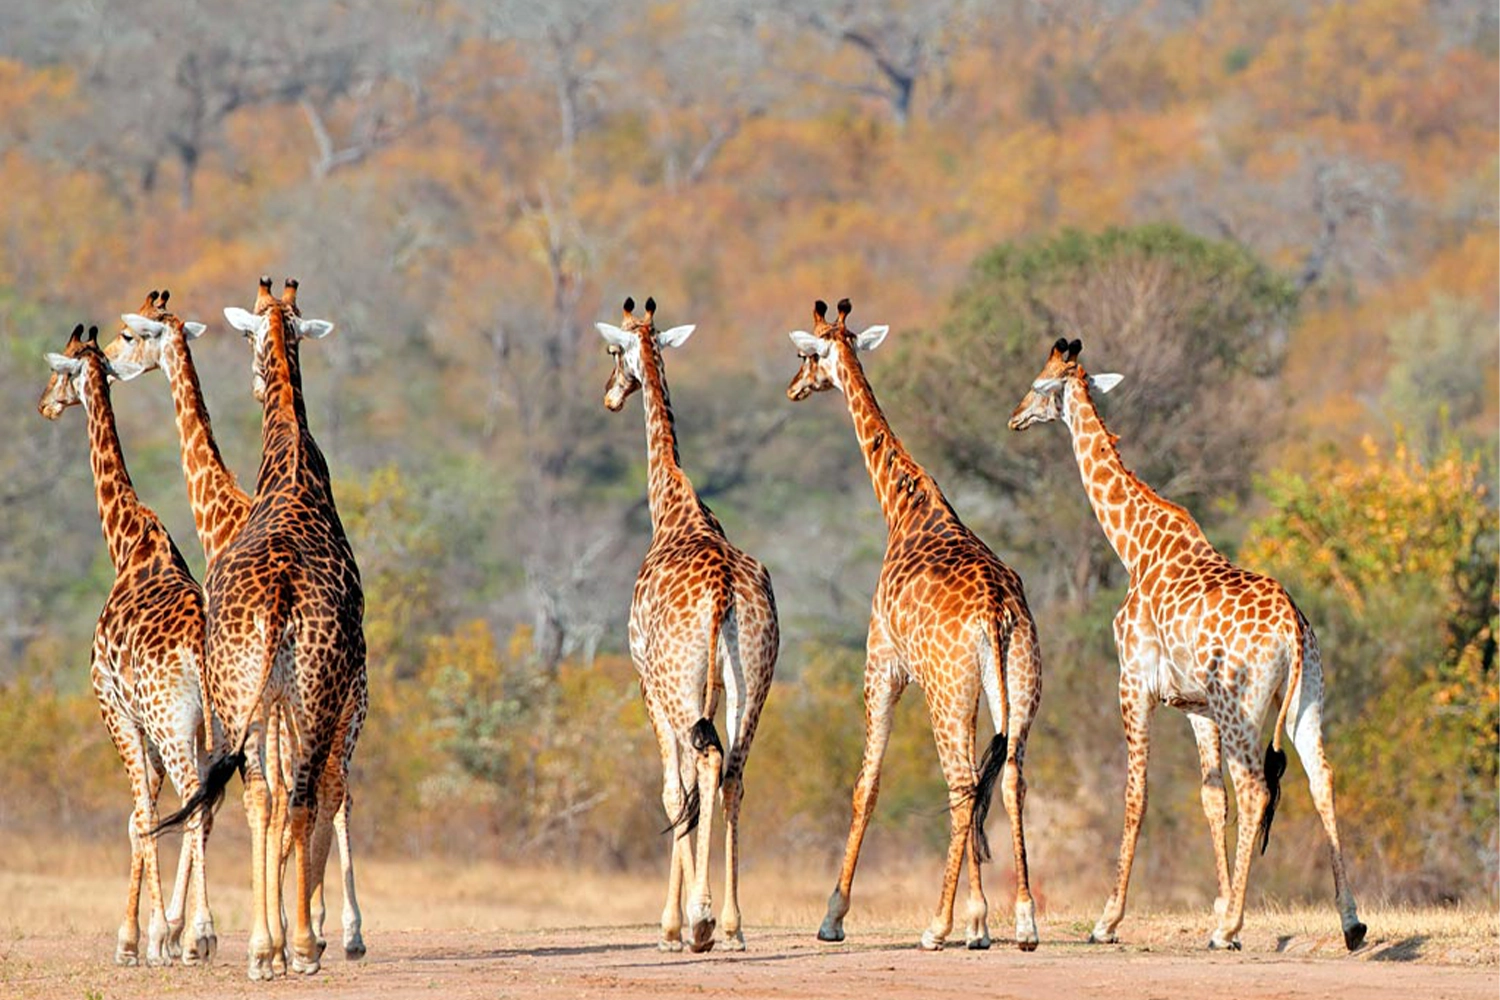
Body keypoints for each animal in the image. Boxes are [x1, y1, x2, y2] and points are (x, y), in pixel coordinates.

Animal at [36, 325, 216, 965]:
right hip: (218, 723)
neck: (127, 542)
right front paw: (147, 934)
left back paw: (198, 934)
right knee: (208, 801)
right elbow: (147, 814)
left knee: (192, 800)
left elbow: (140, 815)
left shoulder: (115, 708)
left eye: (60, 370)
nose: (44, 405)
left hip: (171, 721)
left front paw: (142, 939)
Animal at [109, 289, 369, 959]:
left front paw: (185, 932)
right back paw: (325, 933)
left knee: (260, 793)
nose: (115, 364)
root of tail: (280, 595)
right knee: (323, 787)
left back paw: (269, 938)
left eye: (131, 335)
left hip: (262, 696)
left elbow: (243, 795)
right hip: (327, 696)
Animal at [597, 293, 786, 953]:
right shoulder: (718, 684)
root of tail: (724, 591)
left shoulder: (646, 681)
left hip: (680, 684)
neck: (674, 508)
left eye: (613, 350)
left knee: (702, 768)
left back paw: (700, 923)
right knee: (733, 772)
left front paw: (671, 927)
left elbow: (670, 790)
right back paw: (731, 924)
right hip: (755, 677)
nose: (609, 396)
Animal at [786, 299, 1044, 953]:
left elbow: (866, 784)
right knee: (1007, 780)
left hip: (946, 691)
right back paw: (1024, 922)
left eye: (806, 354)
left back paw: (938, 926)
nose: (794, 387)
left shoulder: (883, 663)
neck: (902, 507)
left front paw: (833, 917)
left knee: (960, 784)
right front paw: (983, 922)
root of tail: (998, 612)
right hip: (1017, 684)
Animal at [1002, 338, 1368, 953]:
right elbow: (1209, 799)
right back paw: (1351, 922)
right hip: (1305, 699)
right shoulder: (1196, 708)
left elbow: (1137, 795)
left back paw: (1232, 928)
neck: (1135, 545)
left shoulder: (1133, 684)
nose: (1014, 418)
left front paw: (1109, 920)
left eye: (1036, 384)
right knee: (1321, 778)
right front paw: (1218, 906)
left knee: (1256, 789)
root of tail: (1294, 630)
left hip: (1243, 707)